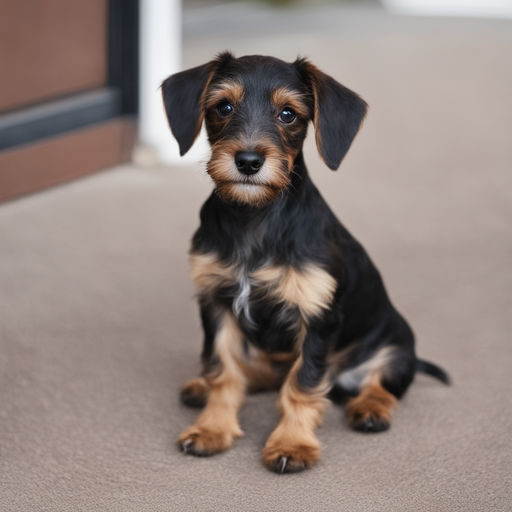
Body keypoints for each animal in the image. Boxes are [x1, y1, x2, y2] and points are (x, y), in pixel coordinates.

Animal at [161, 54, 448, 474]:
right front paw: (212, 428)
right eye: (223, 107)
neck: (255, 219)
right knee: (260, 372)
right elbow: (223, 371)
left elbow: (302, 384)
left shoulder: (316, 318)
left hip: (396, 346)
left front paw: (292, 443)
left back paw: (371, 408)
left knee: (381, 383)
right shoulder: (217, 304)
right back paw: (203, 387)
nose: (248, 161)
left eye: (288, 114)